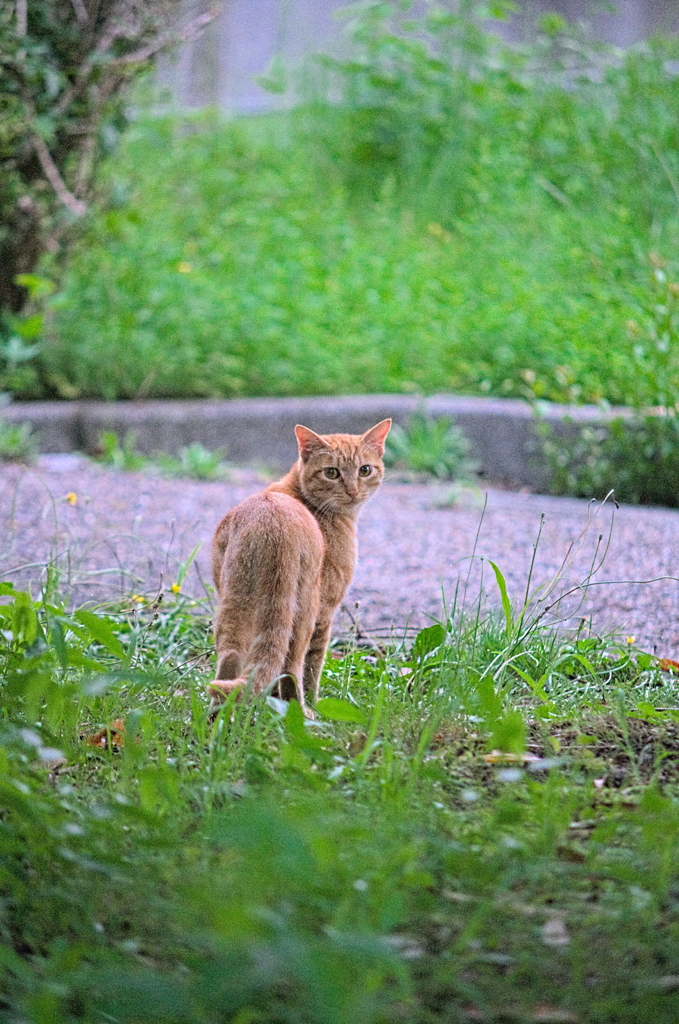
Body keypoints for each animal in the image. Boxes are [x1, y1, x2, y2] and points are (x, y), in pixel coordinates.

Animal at [206, 419, 391, 716]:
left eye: (364, 470)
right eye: (331, 473)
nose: (352, 491)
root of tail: (275, 523)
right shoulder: (325, 612)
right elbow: (313, 667)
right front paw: (310, 702)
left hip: (234, 604)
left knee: (231, 659)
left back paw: (217, 716)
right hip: (304, 611)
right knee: (292, 667)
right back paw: (304, 712)